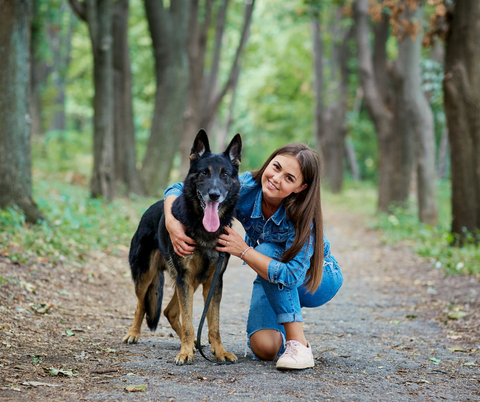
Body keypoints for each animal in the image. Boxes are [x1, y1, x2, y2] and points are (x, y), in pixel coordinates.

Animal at [124, 130, 242, 366]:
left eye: (225, 175)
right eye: (204, 173)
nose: (214, 194)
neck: (204, 230)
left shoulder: (212, 282)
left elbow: (213, 324)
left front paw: (219, 351)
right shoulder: (185, 278)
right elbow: (189, 322)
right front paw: (185, 352)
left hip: (190, 282)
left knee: (169, 311)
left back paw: (196, 344)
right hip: (148, 276)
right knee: (141, 304)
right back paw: (134, 333)